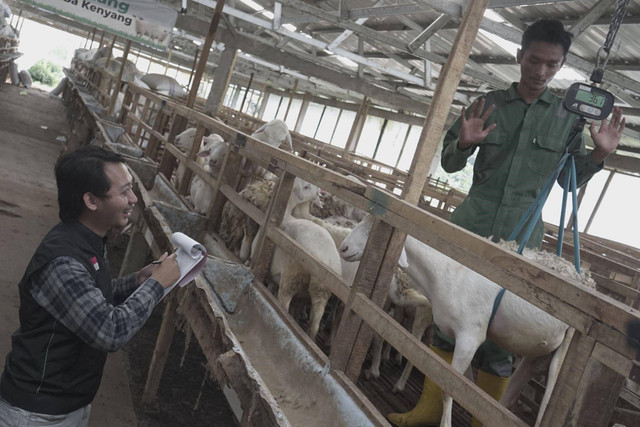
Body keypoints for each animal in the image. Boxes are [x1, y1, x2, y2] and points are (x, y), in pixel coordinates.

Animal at [340, 214, 596, 427]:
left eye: (374, 225)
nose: (343, 247)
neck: (445, 272)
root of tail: (584, 276)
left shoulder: (470, 336)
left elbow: (450, 388)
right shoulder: (461, 339)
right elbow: (465, 388)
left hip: (564, 354)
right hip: (540, 352)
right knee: (513, 390)